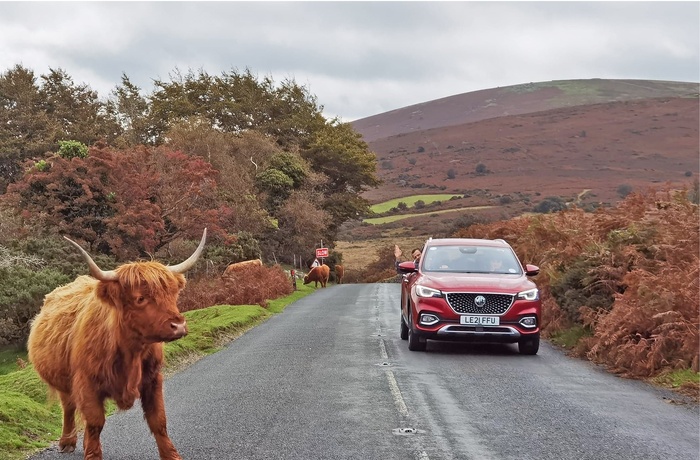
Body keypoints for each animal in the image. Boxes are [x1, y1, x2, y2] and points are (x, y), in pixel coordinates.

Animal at [27, 228, 208, 458]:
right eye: (140, 298)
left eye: (172, 294)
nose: (179, 325)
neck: (131, 351)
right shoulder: (86, 383)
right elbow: (95, 422)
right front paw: (93, 455)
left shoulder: (153, 379)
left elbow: (158, 421)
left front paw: (171, 455)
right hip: (64, 382)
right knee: (68, 407)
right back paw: (67, 442)